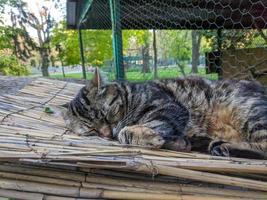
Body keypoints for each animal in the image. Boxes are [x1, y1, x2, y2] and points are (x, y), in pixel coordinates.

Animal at [62, 69, 267, 159]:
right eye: (91, 131)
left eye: (107, 114)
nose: (105, 134)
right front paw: (178, 142)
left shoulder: (169, 107)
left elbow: (126, 132)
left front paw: (144, 134)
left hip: (248, 112)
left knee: (264, 148)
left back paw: (223, 146)